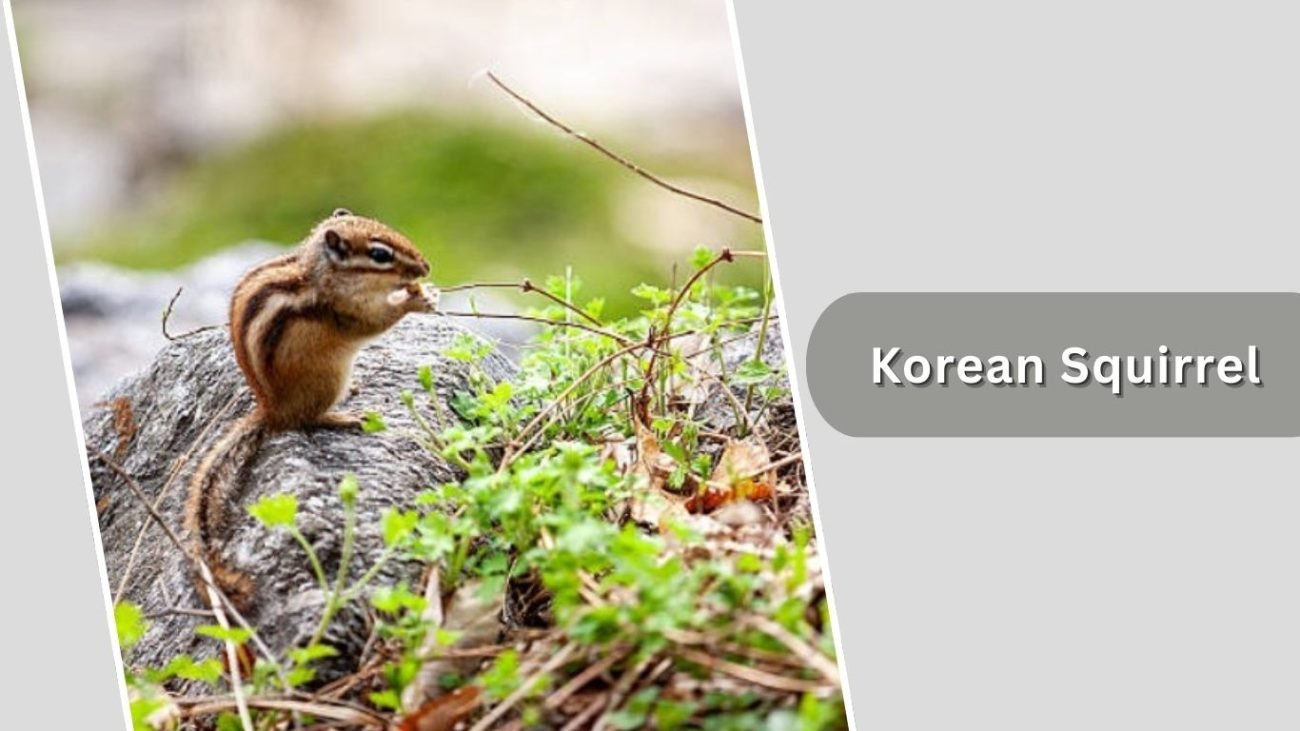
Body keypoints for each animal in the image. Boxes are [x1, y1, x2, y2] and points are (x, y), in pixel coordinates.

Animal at [183, 208, 437, 610]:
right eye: (380, 255)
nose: (425, 267)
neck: (324, 273)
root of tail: (271, 411)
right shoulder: (347, 312)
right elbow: (376, 322)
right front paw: (415, 300)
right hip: (328, 377)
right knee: (308, 418)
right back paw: (345, 417)